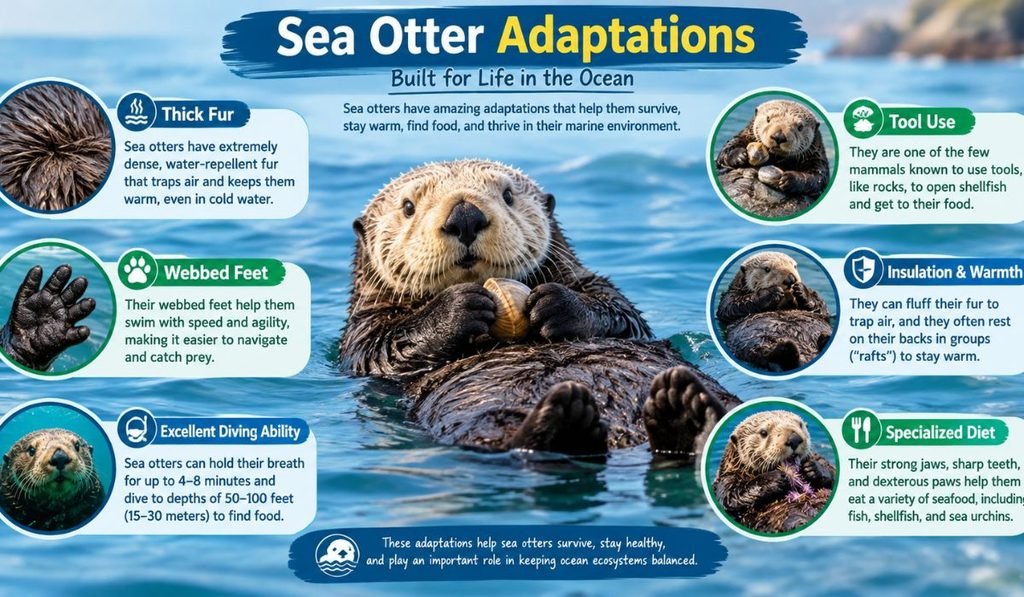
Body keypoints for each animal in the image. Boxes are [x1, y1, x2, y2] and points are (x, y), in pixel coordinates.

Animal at [340, 159, 741, 459]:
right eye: (408, 207)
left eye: (507, 195)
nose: (465, 215)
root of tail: (624, 439)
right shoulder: (360, 333)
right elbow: (383, 350)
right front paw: (460, 306)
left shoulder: (597, 286)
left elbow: (621, 315)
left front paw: (554, 304)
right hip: (486, 419)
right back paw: (569, 418)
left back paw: (684, 411)